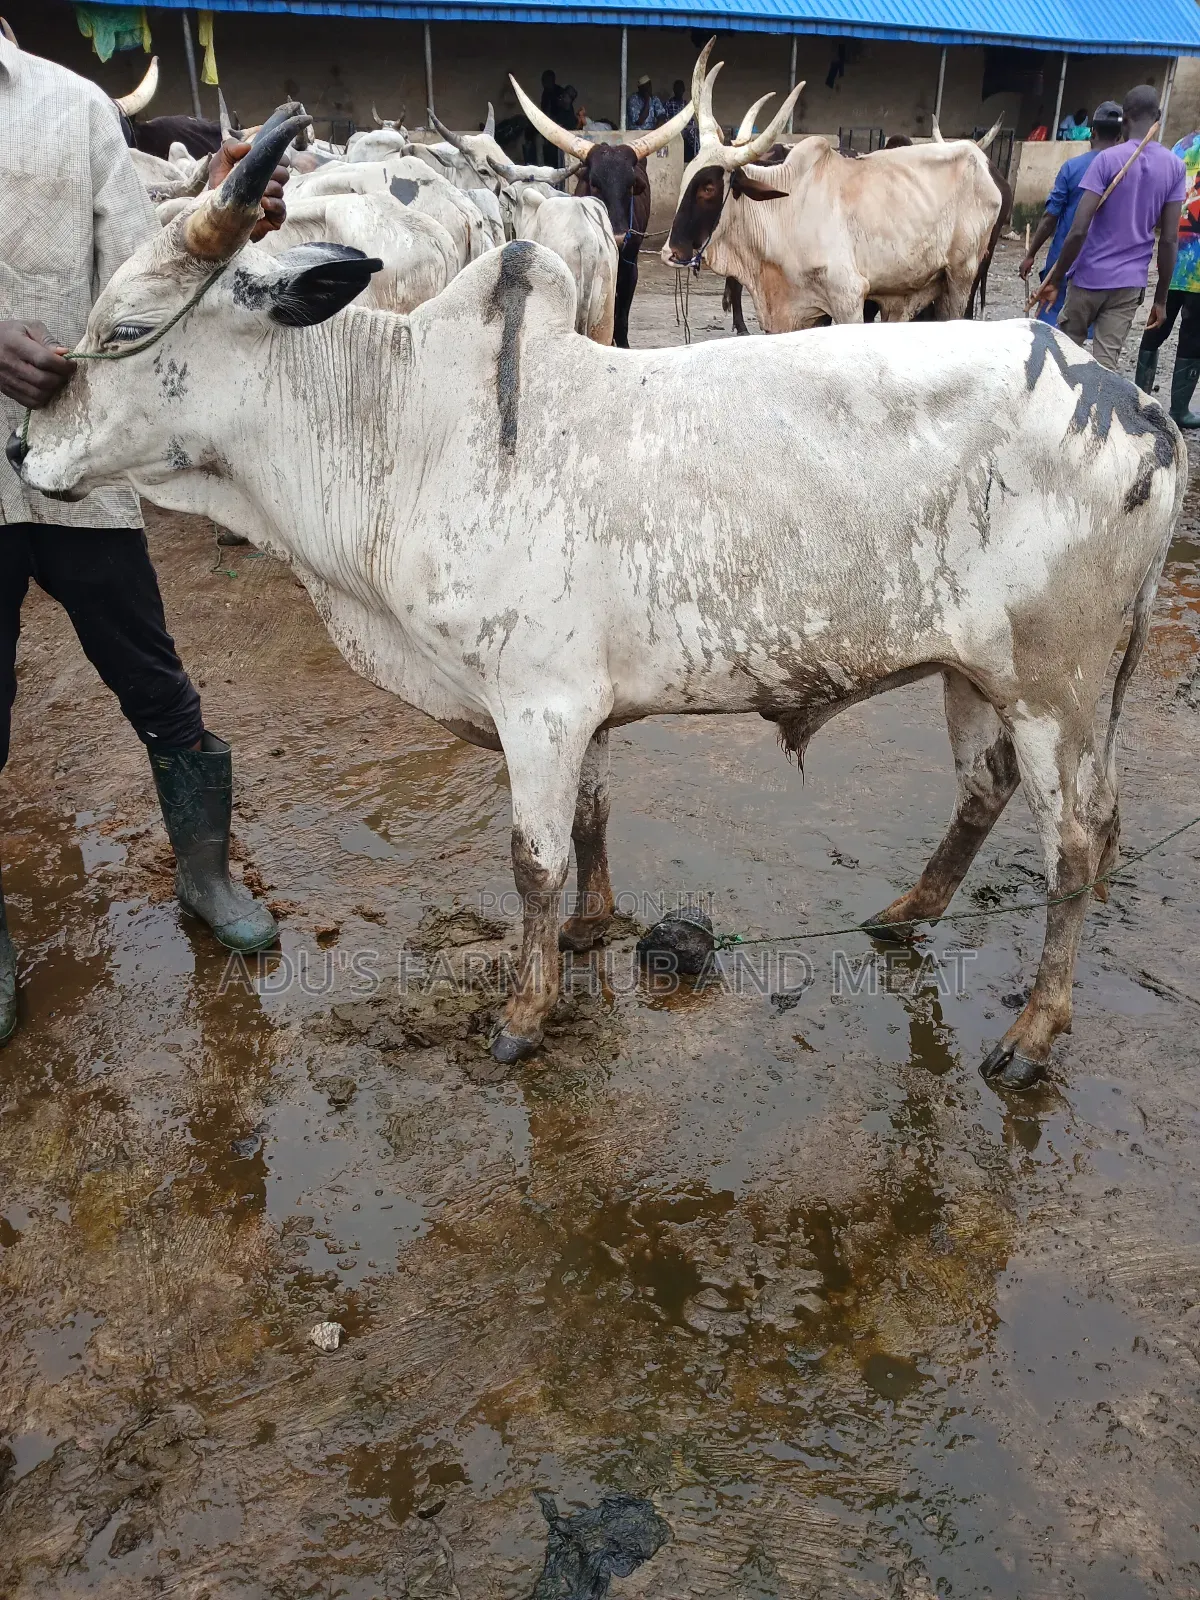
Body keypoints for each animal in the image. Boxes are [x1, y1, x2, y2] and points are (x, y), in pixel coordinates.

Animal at [10, 110, 1185, 1095]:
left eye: (128, 326)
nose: (24, 450)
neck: (399, 427)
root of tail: (1136, 403)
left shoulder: (536, 704)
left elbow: (534, 860)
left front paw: (524, 1014)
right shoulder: (573, 705)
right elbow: (589, 817)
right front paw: (593, 930)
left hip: (1057, 687)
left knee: (1079, 843)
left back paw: (1033, 1034)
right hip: (974, 670)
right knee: (986, 789)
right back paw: (908, 913)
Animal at [664, 41, 1003, 329]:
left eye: (708, 187)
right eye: (687, 177)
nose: (671, 252)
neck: (783, 212)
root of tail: (978, 158)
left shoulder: (848, 298)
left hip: (962, 277)